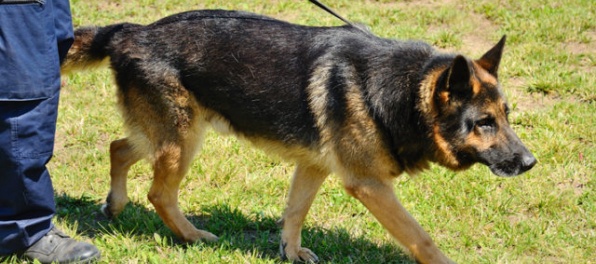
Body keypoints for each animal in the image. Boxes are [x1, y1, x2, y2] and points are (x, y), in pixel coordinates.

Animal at [60, 7, 536, 262]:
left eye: (506, 116)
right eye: (484, 123)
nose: (530, 163)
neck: (400, 92)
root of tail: (131, 31)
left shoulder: (312, 166)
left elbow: (294, 214)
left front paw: (289, 252)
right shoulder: (369, 185)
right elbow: (420, 236)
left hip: (166, 135)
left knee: (119, 148)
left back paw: (115, 204)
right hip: (182, 141)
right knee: (159, 192)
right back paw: (192, 237)